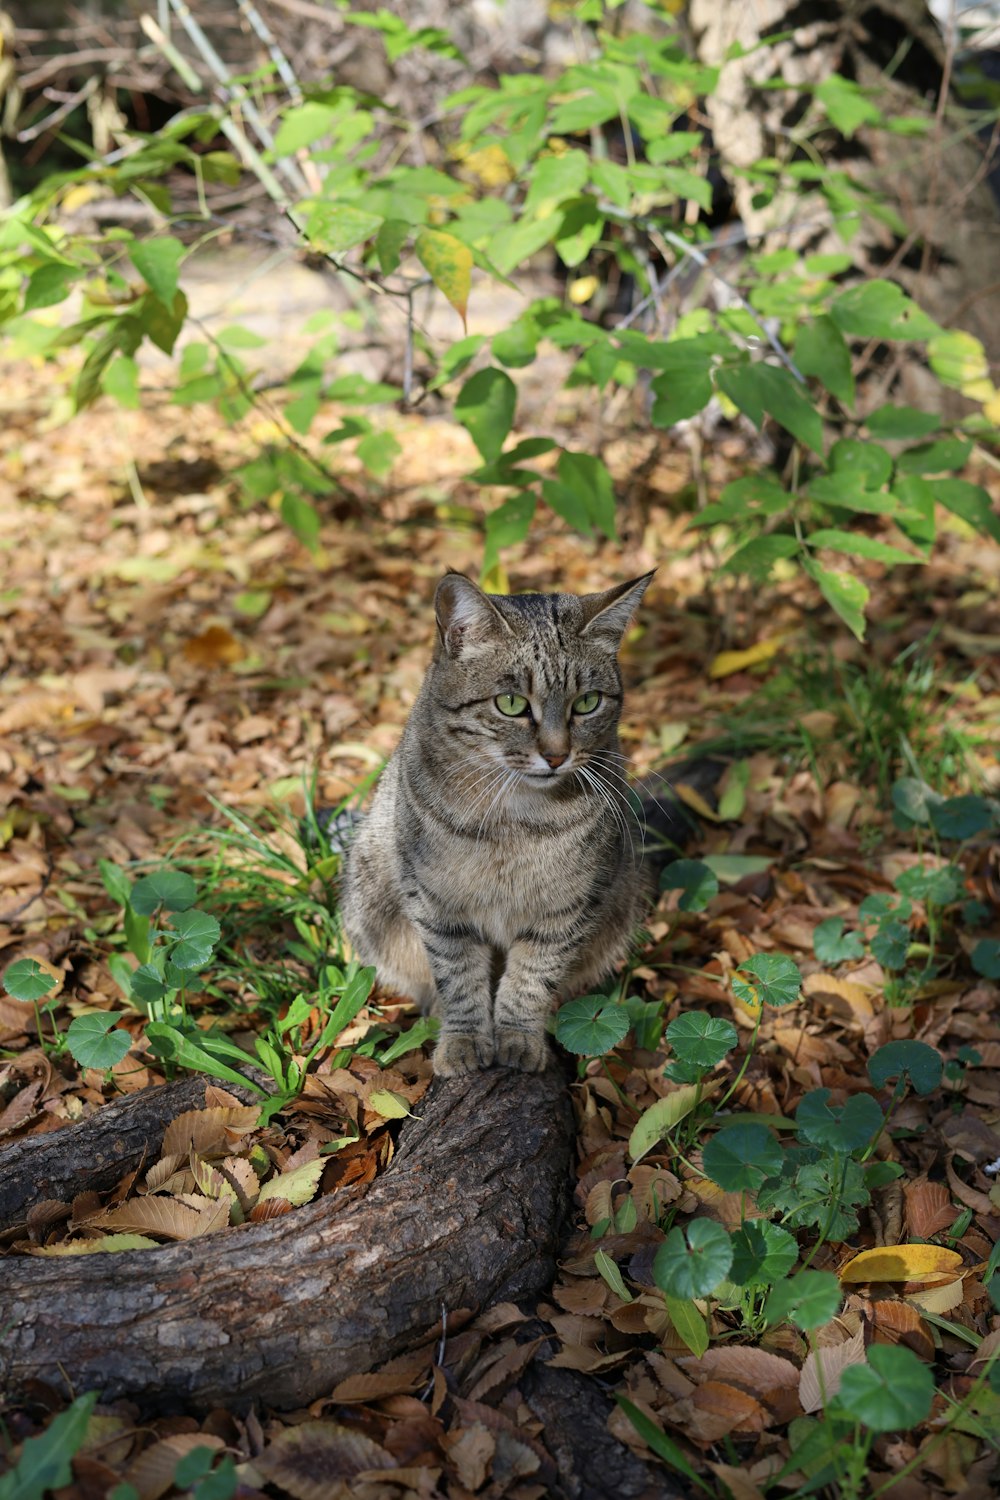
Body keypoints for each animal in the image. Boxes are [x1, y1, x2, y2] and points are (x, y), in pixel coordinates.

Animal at [341, 567, 656, 1074]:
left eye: (587, 702)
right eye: (510, 703)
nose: (556, 755)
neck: (517, 818)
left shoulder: (566, 909)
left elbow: (532, 978)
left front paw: (518, 1037)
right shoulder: (437, 904)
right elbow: (459, 978)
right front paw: (465, 1041)